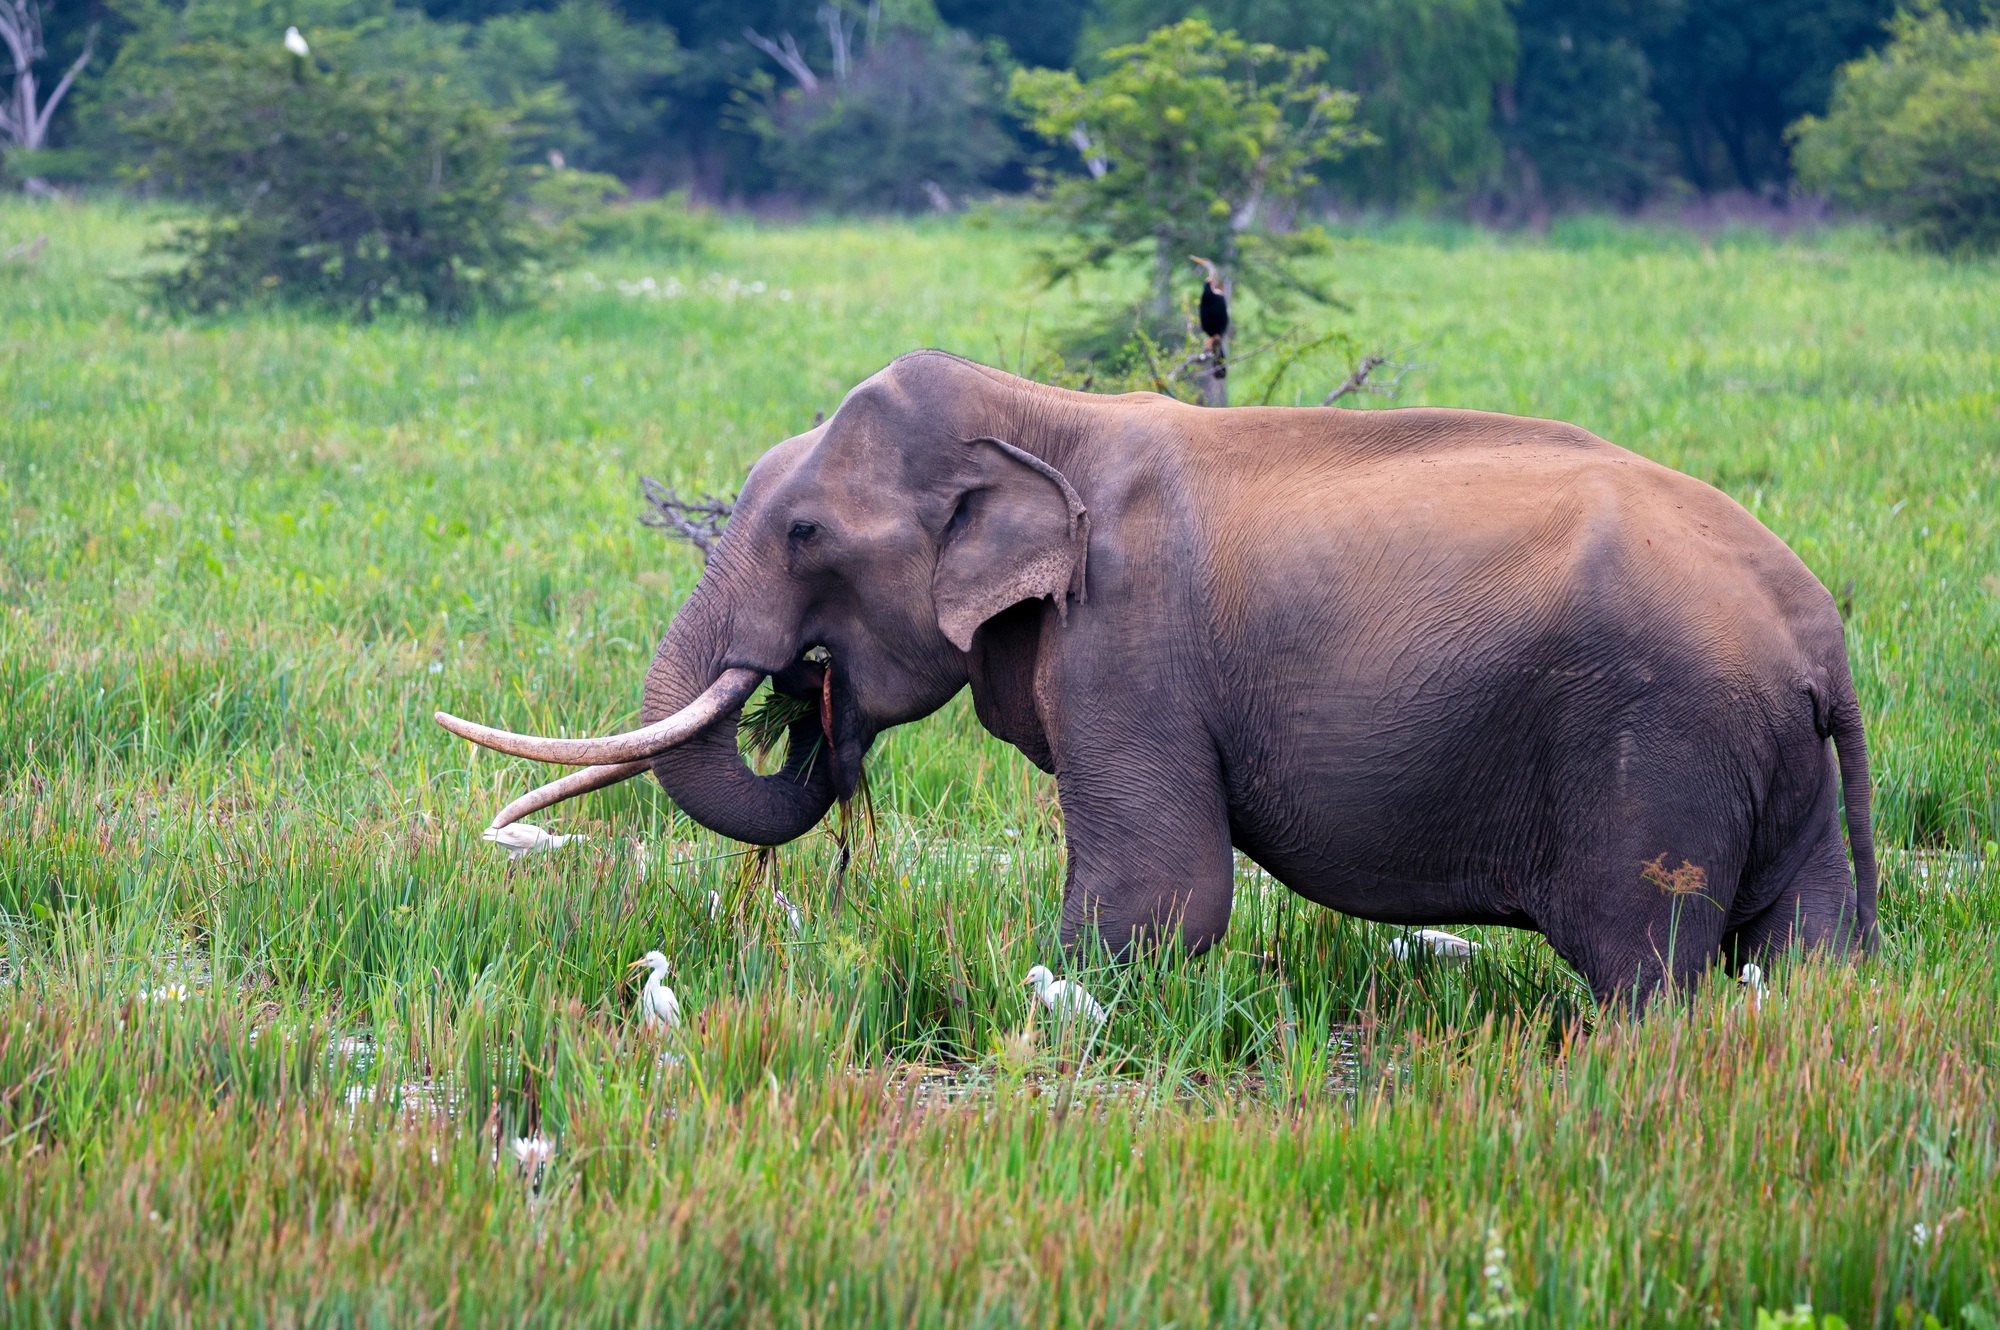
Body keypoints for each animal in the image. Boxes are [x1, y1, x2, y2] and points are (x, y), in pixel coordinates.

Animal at [439, 350, 1876, 1004]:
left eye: (801, 534)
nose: (806, 695)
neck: (1042, 411)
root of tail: (1819, 637)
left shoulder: (1129, 650)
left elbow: (1159, 898)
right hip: (1775, 771)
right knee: (1801, 955)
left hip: (1662, 746)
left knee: (1645, 962)